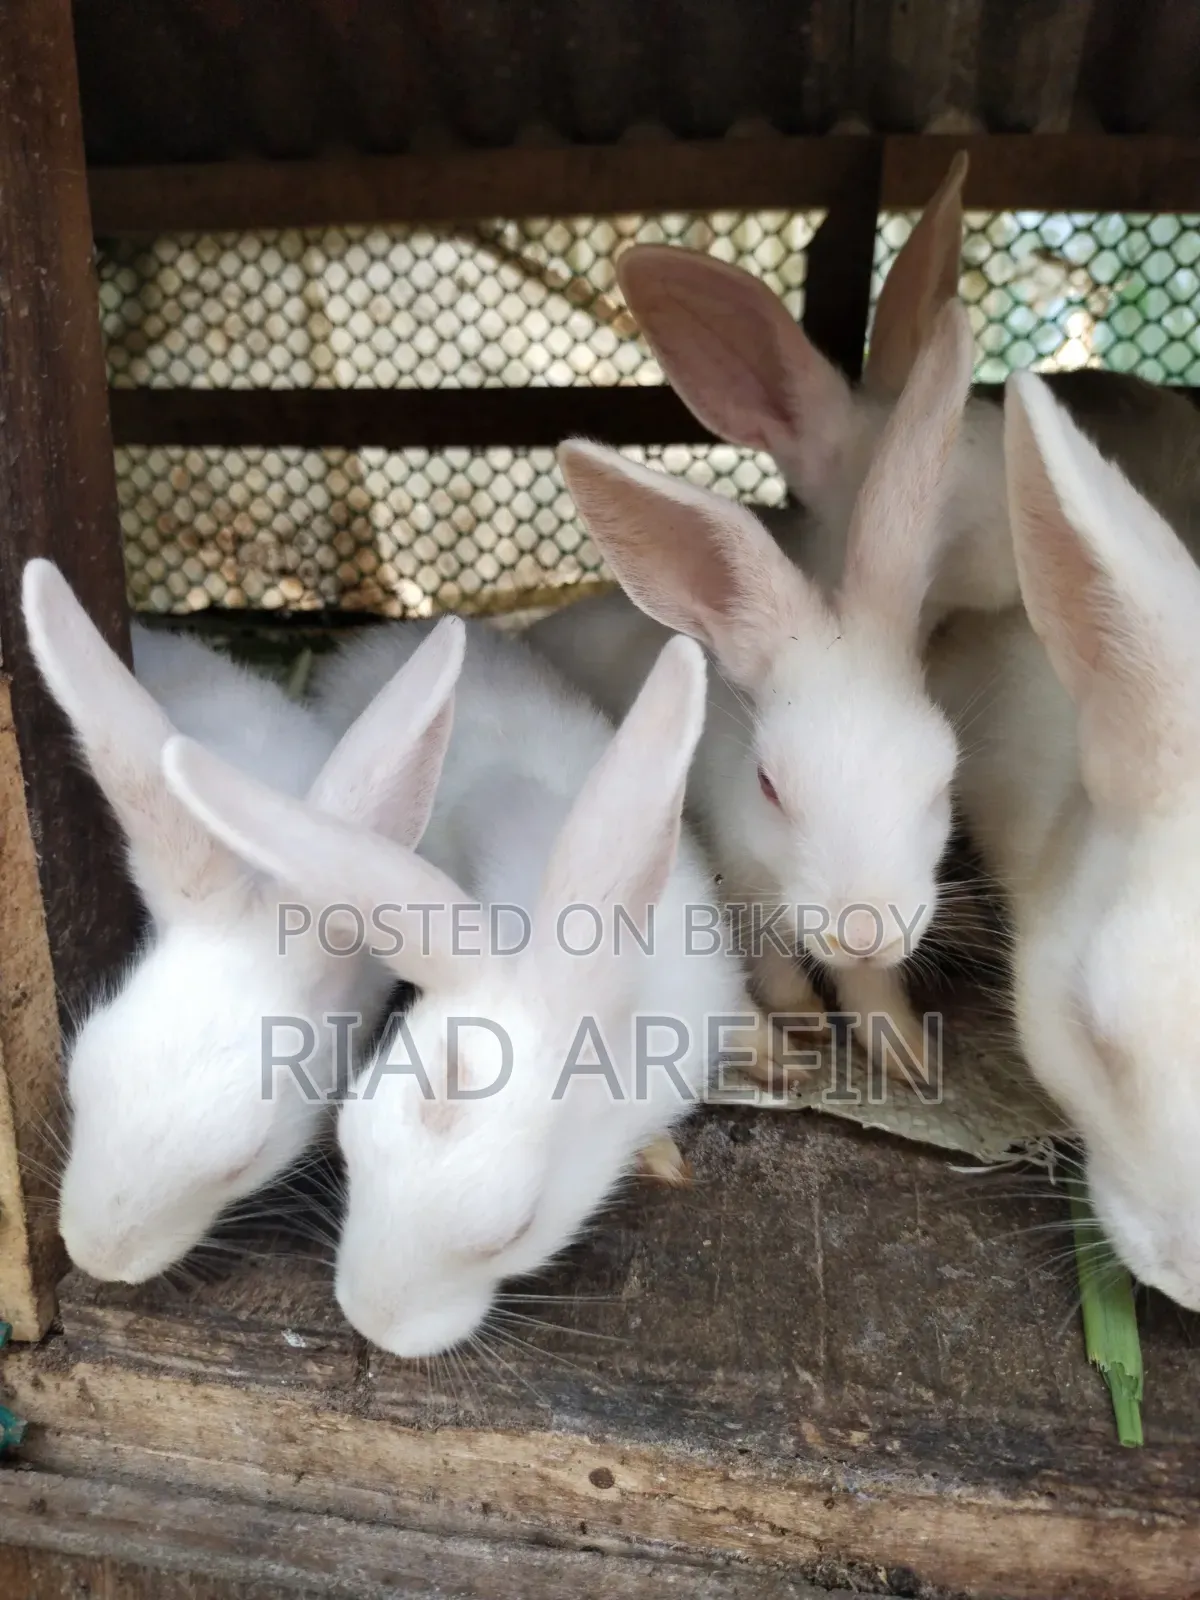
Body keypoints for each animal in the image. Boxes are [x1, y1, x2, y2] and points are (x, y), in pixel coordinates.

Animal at [528, 298, 976, 1073]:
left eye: (940, 782)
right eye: (769, 786)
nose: (864, 930)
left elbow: (872, 987)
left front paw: (910, 1056)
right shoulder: (738, 879)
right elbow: (770, 961)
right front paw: (802, 1025)